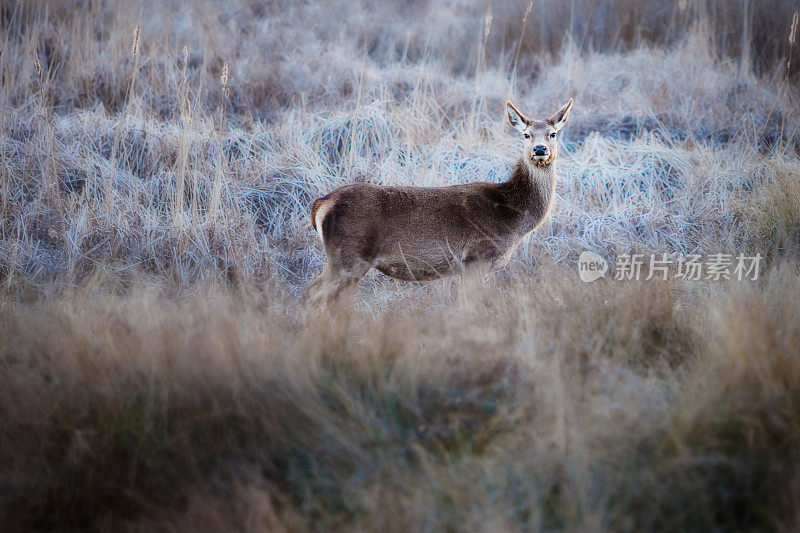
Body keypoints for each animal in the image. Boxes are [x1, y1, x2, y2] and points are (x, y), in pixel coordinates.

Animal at [308, 98, 576, 304]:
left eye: (553, 134)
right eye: (526, 135)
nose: (540, 149)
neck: (512, 215)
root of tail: (322, 204)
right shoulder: (476, 258)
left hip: (341, 260)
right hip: (349, 256)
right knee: (319, 298)